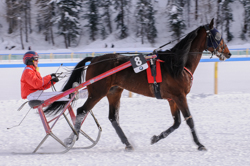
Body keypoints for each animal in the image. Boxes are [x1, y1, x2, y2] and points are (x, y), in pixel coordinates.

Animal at [45, 18, 230, 151]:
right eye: (218, 36)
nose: (228, 53)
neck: (178, 64)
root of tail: (95, 59)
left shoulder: (172, 98)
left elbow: (176, 123)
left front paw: (156, 138)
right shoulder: (179, 96)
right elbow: (189, 120)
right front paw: (200, 144)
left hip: (114, 92)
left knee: (113, 118)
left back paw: (127, 143)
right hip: (98, 92)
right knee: (82, 111)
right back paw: (71, 139)